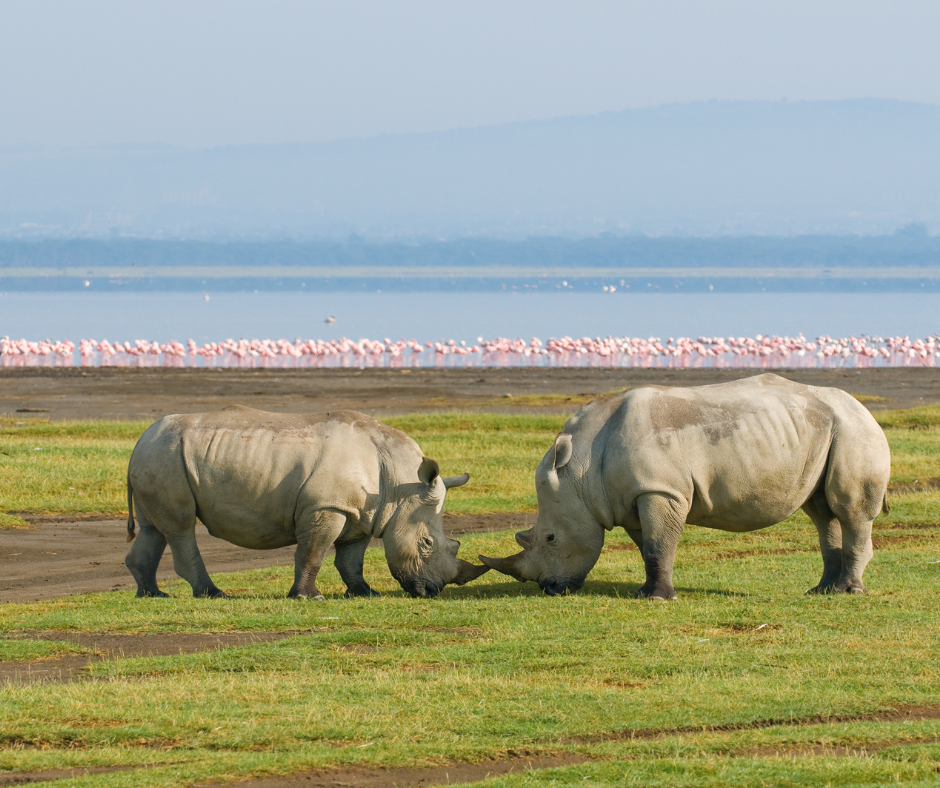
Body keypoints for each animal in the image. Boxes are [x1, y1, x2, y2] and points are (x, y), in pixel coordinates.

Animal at [125, 406, 489, 599]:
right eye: (427, 543)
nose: (432, 590)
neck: (401, 485)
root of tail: (140, 439)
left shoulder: (361, 513)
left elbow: (351, 559)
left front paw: (365, 592)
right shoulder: (326, 506)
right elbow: (313, 553)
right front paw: (307, 597)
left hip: (160, 455)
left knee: (154, 528)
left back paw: (152, 594)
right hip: (167, 455)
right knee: (181, 527)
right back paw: (213, 594)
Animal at [481, 374, 891, 599]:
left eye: (550, 539)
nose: (548, 587)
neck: (581, 471)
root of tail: (865, 409)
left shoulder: (660, 489)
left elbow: (658, 544)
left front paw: (657, 599)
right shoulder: (633, 496)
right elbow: (649, 547)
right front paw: (645, 592)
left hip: (855, 431)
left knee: (849, 510)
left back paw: (848, 591)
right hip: (825, 433)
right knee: (823, 512)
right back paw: (821, 591)